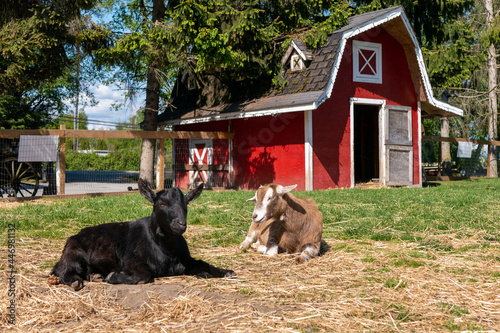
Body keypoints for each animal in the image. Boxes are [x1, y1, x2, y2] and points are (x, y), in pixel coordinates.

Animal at [47, 178, 234, 290]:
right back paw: (76, 281)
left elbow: (203, 263)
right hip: (74, 253)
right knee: (65, 271)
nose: (181, 224)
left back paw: (96, 276)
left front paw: (225, 271)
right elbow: (144, 276)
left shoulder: (186, 261)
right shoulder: (131, 261)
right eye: (161, 204)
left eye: (186, 204)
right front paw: (114, 276)